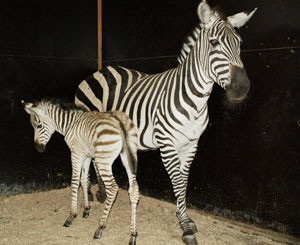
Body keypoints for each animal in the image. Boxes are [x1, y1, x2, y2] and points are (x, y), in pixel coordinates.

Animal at [22, 98, 139, 244]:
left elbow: (75, 181)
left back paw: (100, 227)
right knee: (134, 190)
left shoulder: (76, 153)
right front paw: (86, 209)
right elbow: (84, 180)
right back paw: (133, 234)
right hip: (129, 156)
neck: (70, 123)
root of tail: (119, 121)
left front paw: (72, 215)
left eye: (38, 126)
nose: (38, 148)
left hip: (103, 161)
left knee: (112, 188)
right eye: (32, 126)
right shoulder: (86, 156)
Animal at [75, 0, 255, 244]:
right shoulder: (167, 144)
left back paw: (102, 192)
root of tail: (100, 70)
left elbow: (184, 182)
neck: (195, 100)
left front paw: (184, 217)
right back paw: (96, 197)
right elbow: (177, 181)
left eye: (240, 44)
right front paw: (186, 228)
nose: (242, 87)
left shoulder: (191, 145)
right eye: (214, 42)